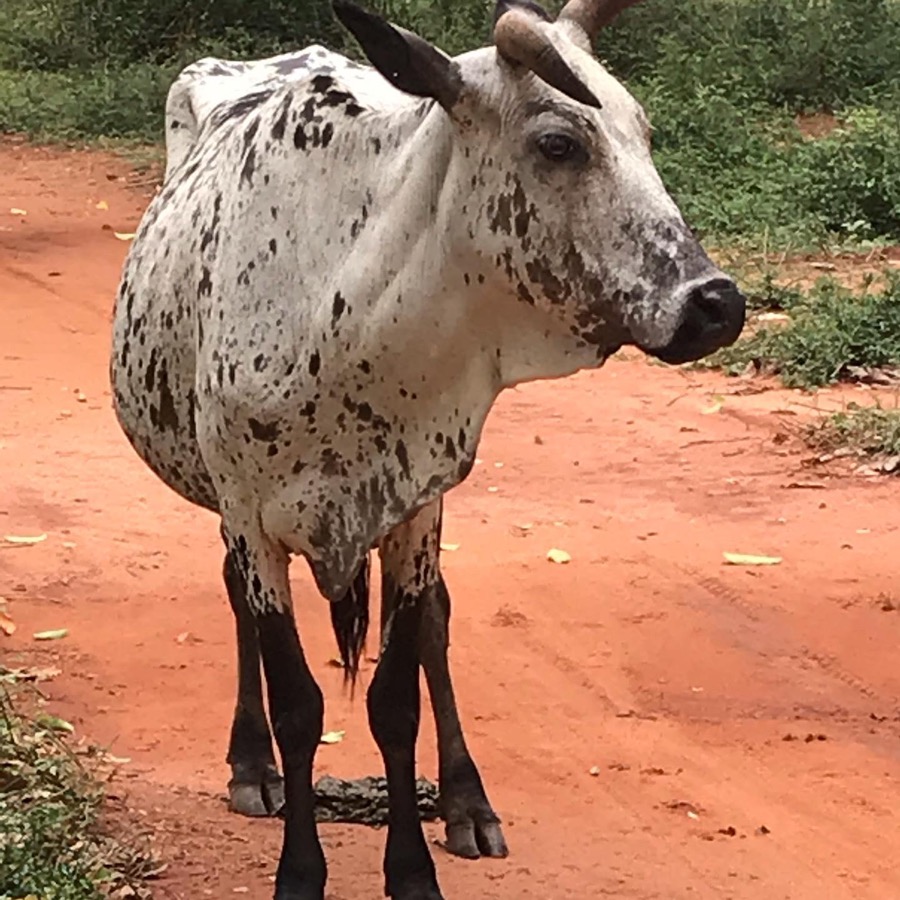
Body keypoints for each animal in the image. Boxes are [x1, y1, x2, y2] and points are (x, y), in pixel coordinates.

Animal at [109, 0, 746, 897]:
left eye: (643, 132)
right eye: (559, 143)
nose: (715, 303)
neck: (347, 310)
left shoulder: (415, 505)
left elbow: (397, 697)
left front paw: (414, 867)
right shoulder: (249, 514)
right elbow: (299, 702)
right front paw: (299, 870)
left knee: (437, 626)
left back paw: (466, 801)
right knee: (237, 604)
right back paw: (251, 763)